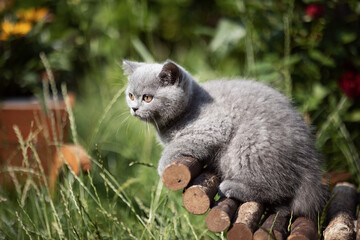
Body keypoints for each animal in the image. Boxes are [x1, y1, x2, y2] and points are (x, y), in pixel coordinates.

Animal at [122, 59, 328, 218]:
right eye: (130, 95)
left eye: (147, 98)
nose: (134, 108)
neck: (192, 105)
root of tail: (309, 166)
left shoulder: (215, 126)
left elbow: (178, 144)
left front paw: (162, 164)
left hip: (248, 143)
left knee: (276, 188)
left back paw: (232, 187)